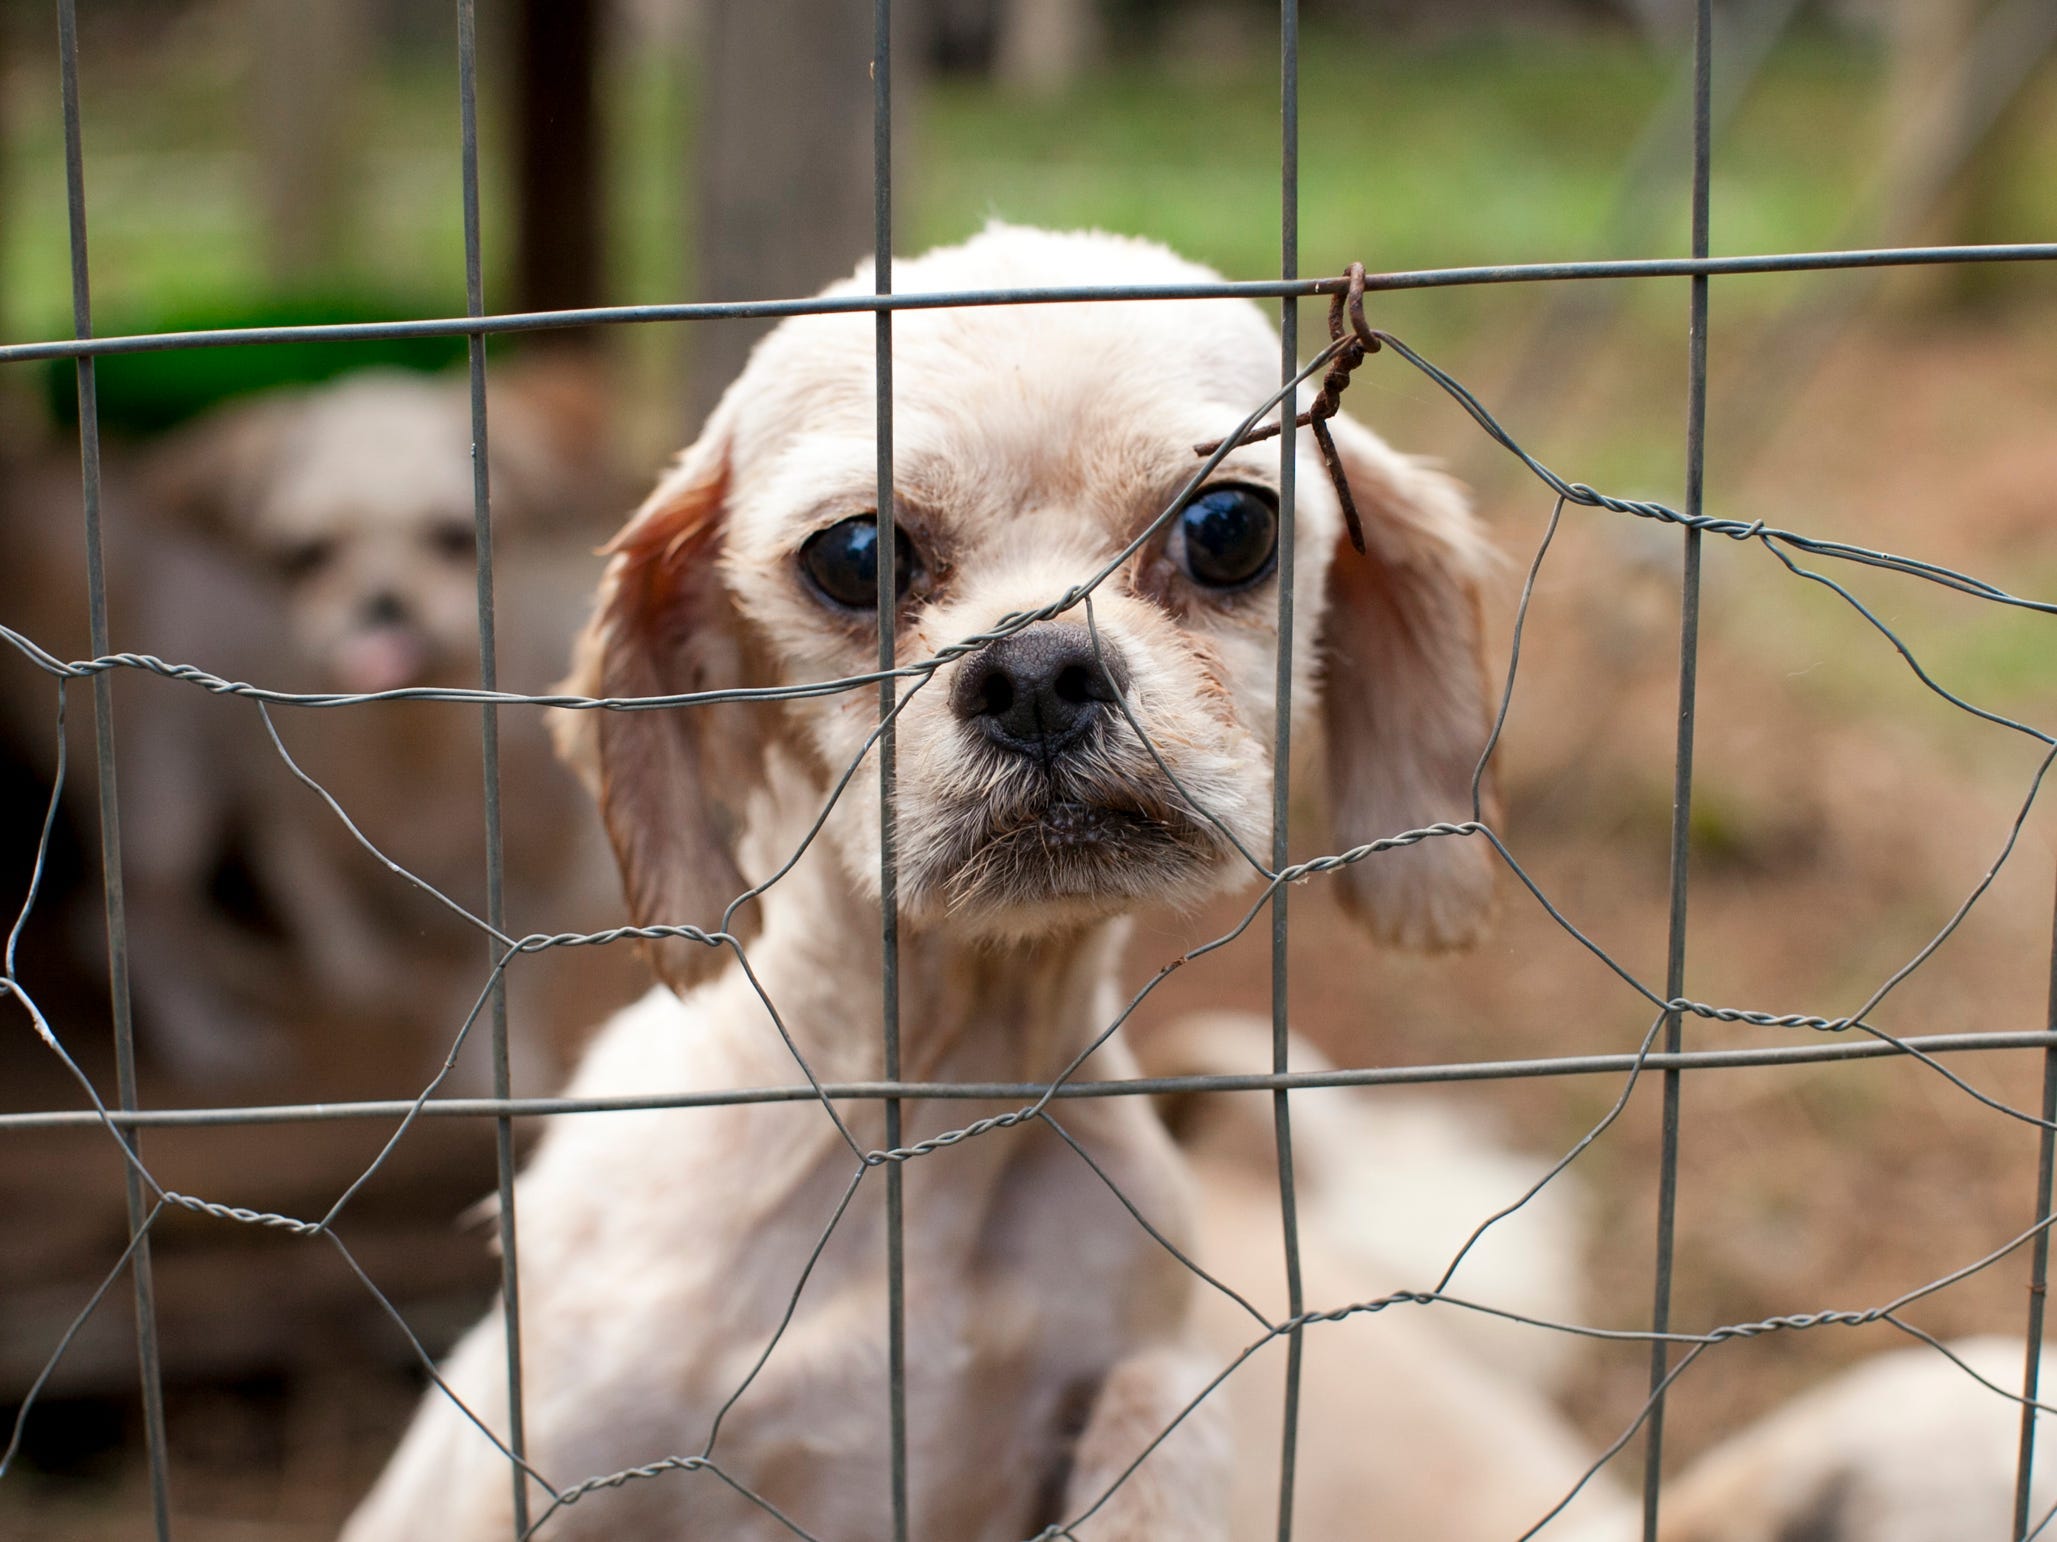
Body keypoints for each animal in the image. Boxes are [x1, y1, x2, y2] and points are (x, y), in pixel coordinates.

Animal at [349, 229, 1513, 1542]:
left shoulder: (1142, 1357)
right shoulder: (514, 1467)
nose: (1040, 673)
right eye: (855, 556)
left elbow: (1163, 1439)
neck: (935, 1125)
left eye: (1228, 526)